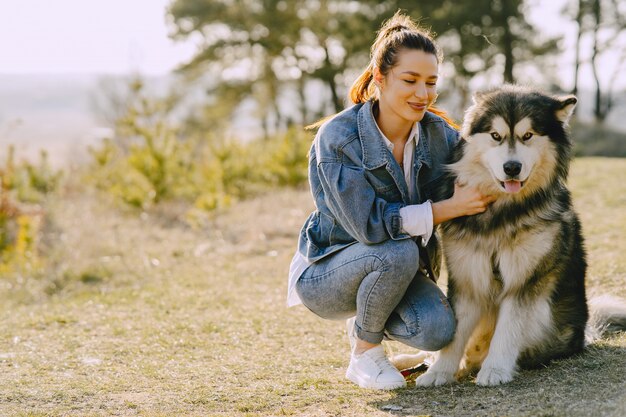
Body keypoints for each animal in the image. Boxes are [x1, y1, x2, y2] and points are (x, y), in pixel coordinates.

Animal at [412, 85, 620, 386]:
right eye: (496, 136)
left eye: (528, 135)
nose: (512, 168)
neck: (502, 214)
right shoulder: (467, 277)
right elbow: (454, 335)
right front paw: (439, 372)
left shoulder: (526, 281)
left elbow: (508, 328)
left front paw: (495, 370)